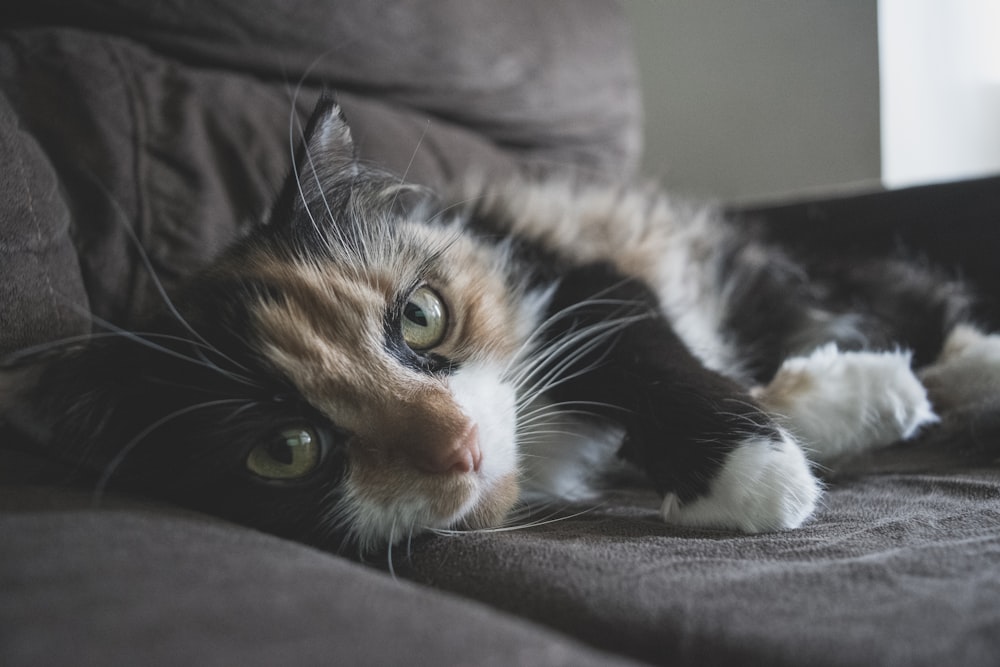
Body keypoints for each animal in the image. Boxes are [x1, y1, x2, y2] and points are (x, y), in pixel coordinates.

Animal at [1, 98, 1000, 552]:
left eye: (421, 316)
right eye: (284, 450)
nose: (459, 448)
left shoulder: (590, 282)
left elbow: (654, 350)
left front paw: (757, 469)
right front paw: (852, 402)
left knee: (916, 307)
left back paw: (970, 371)